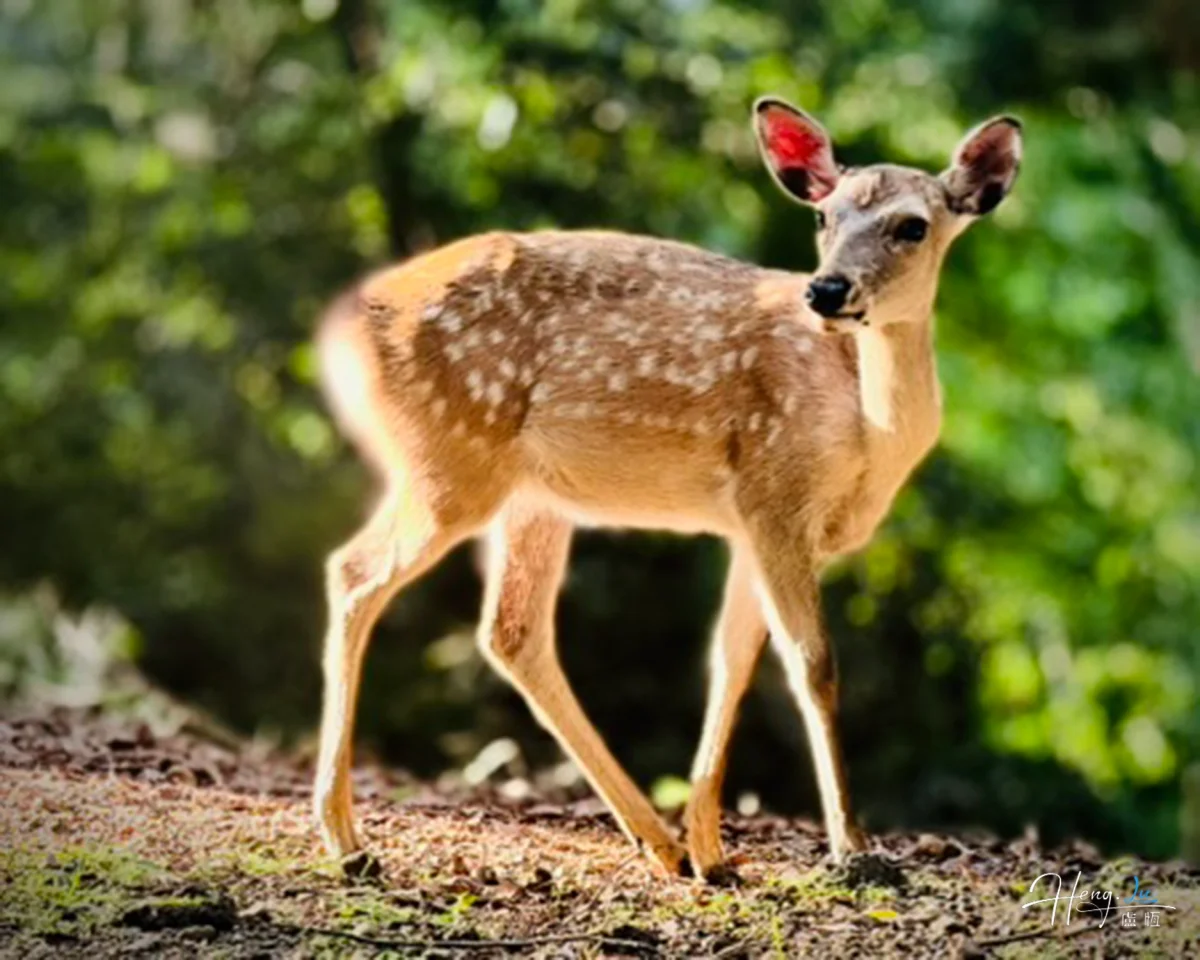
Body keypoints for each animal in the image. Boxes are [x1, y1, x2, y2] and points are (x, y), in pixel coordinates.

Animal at [310, 95, 1022, 882]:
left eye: (912, 226)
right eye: (823, 217)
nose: (827, 289)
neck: (867, 434)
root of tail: (344, 324)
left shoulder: (751, 523)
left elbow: (731, 663)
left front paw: (714, 850)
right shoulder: (775, 491)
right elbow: (814, 663)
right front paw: (854, 850)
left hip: (530, 494)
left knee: (511, 629)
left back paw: (661, 842)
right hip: (450, 458)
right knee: (354, 571)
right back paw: (345, 839)